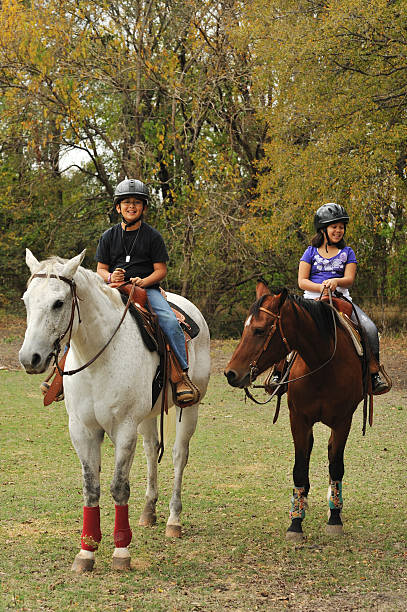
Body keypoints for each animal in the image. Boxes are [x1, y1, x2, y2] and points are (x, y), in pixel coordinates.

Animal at [18, 250, 210, 572]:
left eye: (58, 303)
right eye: (26, 300)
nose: (29, 358)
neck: (100, 358)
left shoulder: (124, 429)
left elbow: (119, 487)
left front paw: (121, 551)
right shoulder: (81, 430)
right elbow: (91, 487)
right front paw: (86, 551)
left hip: (190, 409)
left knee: (178, 457)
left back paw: (173, 520)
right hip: (148, 417)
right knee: (151, 451)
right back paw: (148, 511)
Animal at [225, 278, 368, 540]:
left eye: (260, 330)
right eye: (245, 328)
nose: (230, 373)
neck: (323, 365)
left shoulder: (343, 421)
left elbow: (336, 466)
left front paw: (335, 518)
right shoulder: (299, 420)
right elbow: (299, 468)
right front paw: (296, 521)